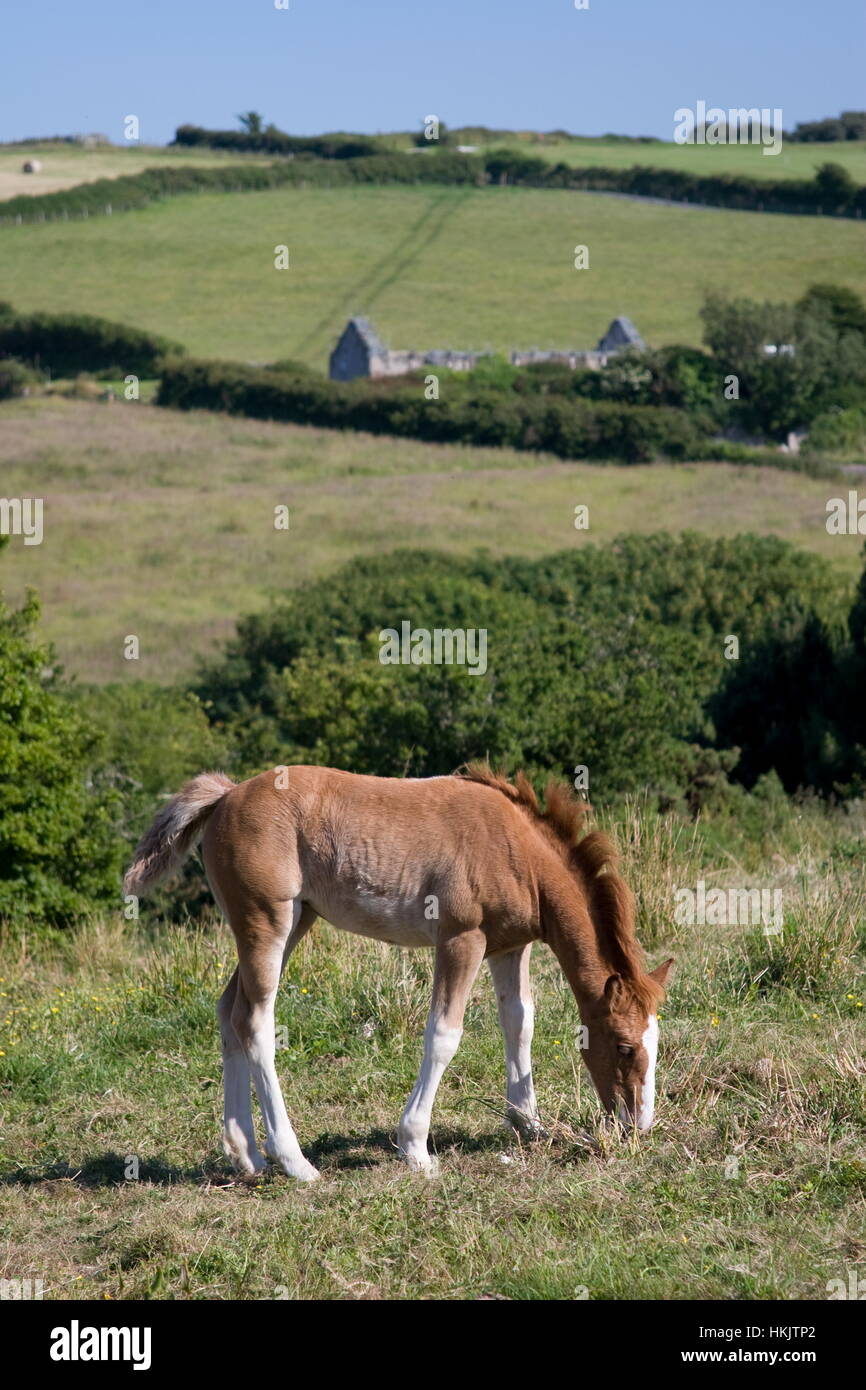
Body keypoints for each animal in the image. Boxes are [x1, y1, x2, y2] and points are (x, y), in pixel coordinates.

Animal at [125, 767, 675, 1178]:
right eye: (625, 1046)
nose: (639, 1125)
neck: (516, 848)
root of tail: (226, 795)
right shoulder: (461, 939)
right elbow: (444, 1036)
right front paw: (415, 1147)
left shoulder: (509, 947)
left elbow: (519, 1023)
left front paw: (528, 1125)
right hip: (267, 922)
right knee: (255, 1023)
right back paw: (294, 1161)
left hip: (294, 922)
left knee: (228, 1012)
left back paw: (247, 1155)